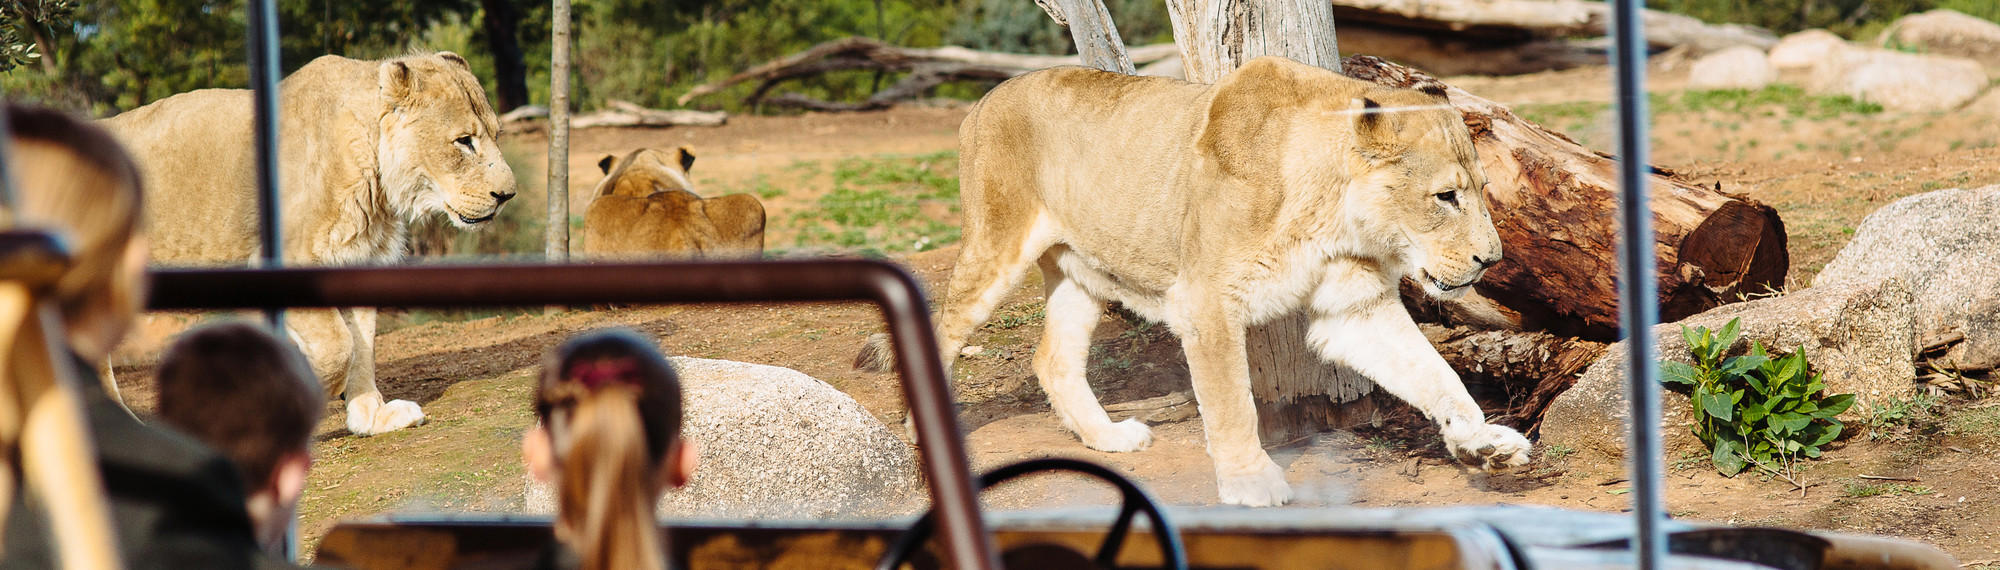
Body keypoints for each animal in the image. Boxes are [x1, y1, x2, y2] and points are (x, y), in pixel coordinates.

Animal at [103, 52, 516, 434]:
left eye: (496, 136)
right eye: (464, 142)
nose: (507, 195)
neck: (376, 179)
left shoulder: (359, 259)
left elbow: (362, 346)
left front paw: (371, 417)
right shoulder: (284, 259)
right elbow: (339, 346)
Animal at [856, 55, 1528, 504]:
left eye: (1483, 191)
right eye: (1446, 197)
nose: (1491, 260)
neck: (1333, 214)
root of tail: (983, 98)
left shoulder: (1354, 308)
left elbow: (1435, 376)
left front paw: (1482, 443)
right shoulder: (1206, 302)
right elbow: (1233, 404)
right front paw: (1251, 481)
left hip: (1083, 270)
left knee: (1053, 358)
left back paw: (1108, 438)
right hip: (994, 246)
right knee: (945, 331)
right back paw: (925, 433)